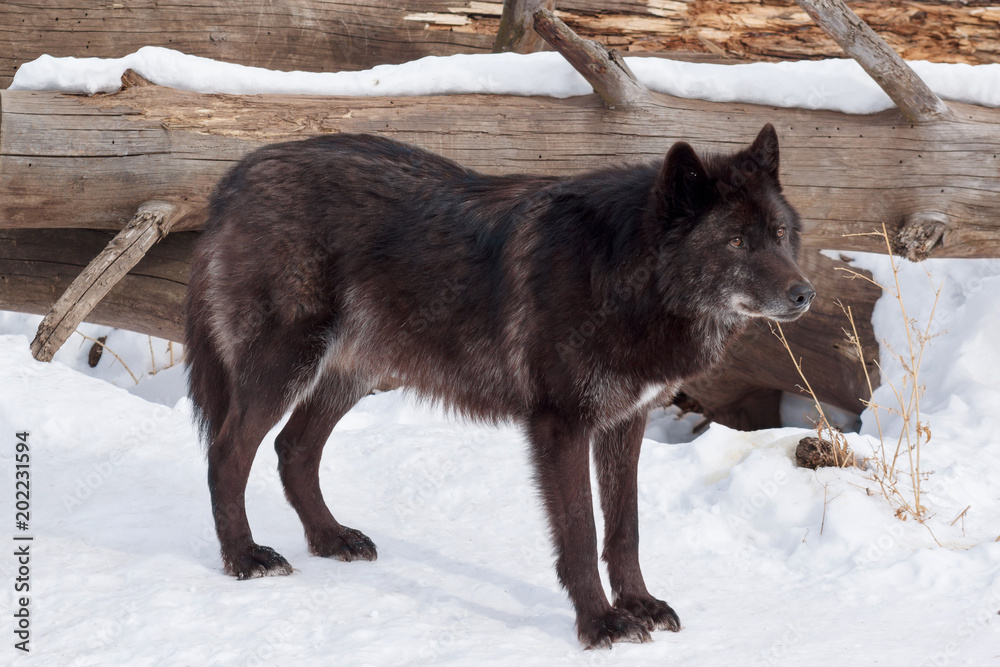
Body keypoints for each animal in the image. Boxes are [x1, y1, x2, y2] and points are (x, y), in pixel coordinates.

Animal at [184, 124, 814, 649]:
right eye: (736, 243)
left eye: (780, 234)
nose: (805, 294)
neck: (624, 276)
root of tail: (236, 176)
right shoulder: (561, 426)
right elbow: (581, 533)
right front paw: (599, 622)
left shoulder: (625, 421)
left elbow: (625, 529)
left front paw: (639, 604)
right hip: (284, 367)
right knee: (226, 452)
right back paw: (244, 558)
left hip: (349, 375)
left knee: (293, 449)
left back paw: (330, 538)